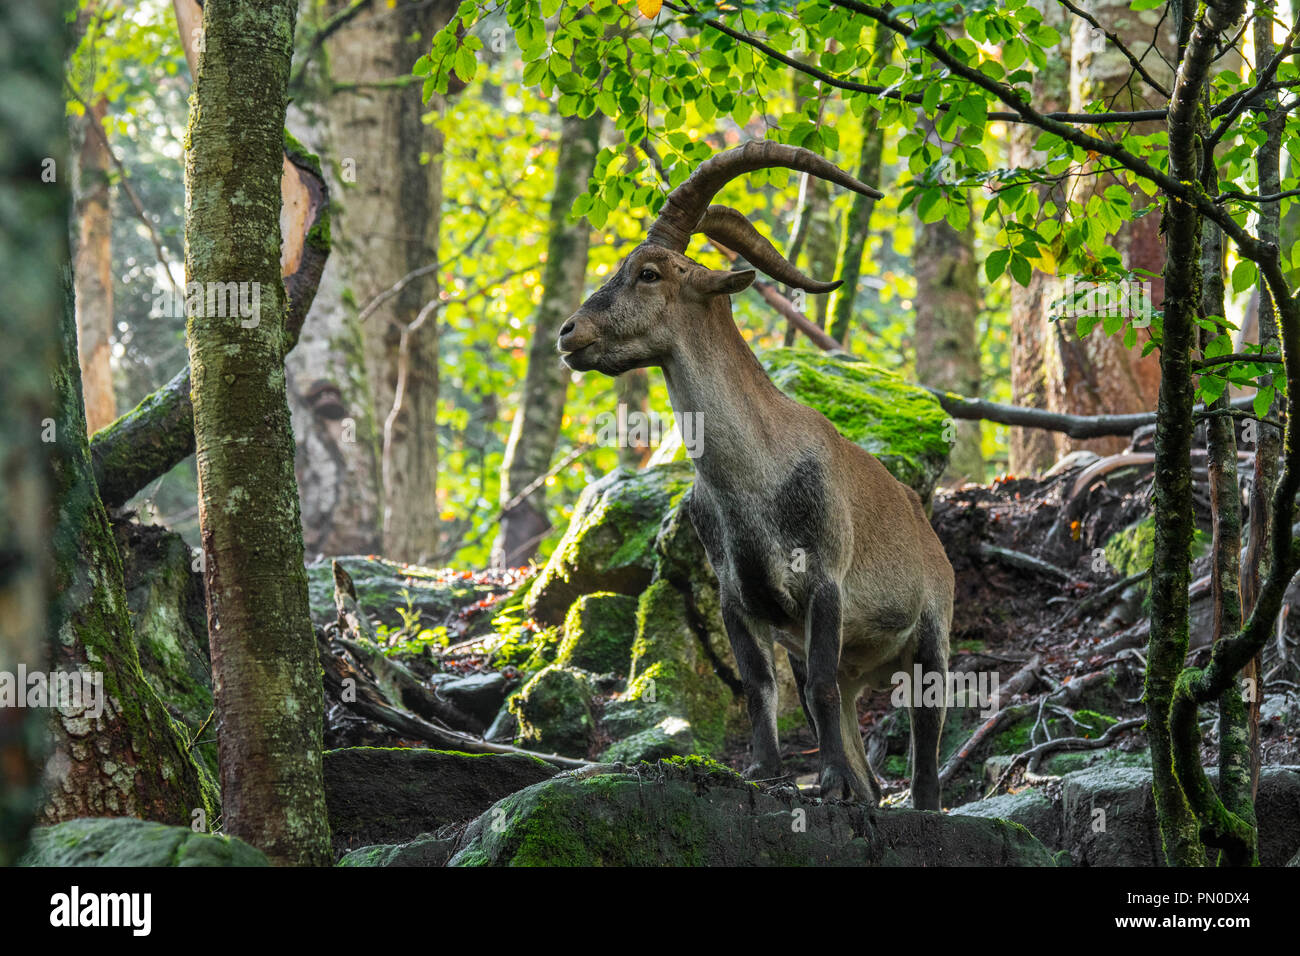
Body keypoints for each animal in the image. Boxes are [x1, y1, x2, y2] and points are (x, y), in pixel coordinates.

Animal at [557, 142, 954, 809]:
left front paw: (829, 782)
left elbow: (815, 688)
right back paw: (865, 787)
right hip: (854, 659)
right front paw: (768, 774)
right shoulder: (738, 600)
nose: (569, 333)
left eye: (649, 272)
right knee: (847, 711)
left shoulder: (824, 582)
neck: (753, 480)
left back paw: (917, 800)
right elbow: (760, 686)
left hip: (932, 631)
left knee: (924, 724)